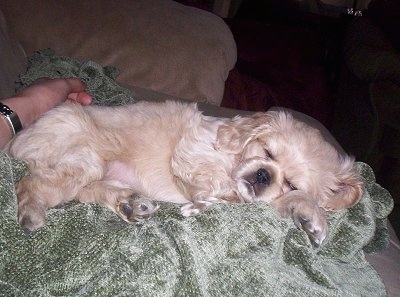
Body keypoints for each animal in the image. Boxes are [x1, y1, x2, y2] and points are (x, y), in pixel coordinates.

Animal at [5, 101, 362, 245]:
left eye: (289, 183)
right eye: (267, 153)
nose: (264, 175)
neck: (232, 158)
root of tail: (15, 141)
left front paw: (311, 218)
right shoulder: (191, 152)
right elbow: (215, 188)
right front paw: (201, 204)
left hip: (92, 171)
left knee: (85, 191)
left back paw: (130, 203)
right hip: (84, 158)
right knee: (29, 182)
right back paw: (31, 213)